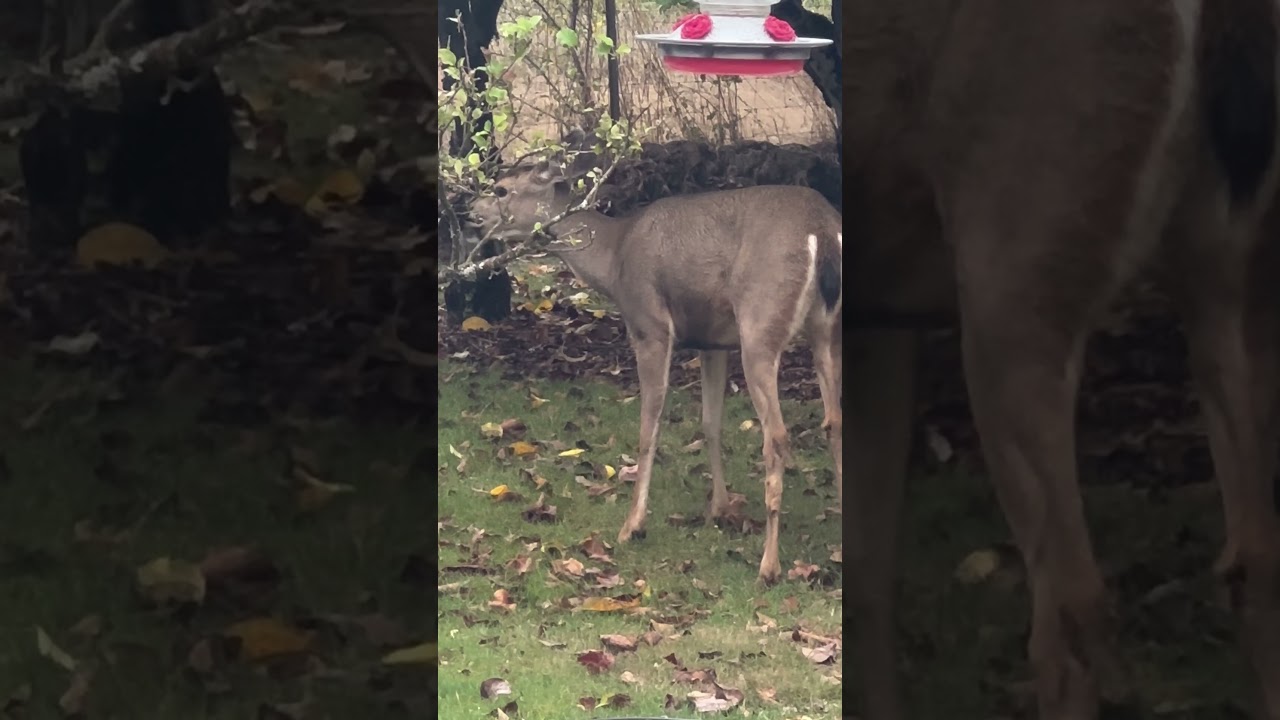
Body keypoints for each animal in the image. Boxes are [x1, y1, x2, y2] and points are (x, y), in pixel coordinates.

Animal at [468, 154, 843, 585]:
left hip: (760, 321)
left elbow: (649, 428)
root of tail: (822, 231)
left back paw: (769, 565)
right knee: (834, 420)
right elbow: (710, 422)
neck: (613, 257)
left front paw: (632, 525)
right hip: (825, 330)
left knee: (777, 436)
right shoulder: (713, 340)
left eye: (501, 189)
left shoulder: (650, 325)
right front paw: (721, 508)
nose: (470, 212)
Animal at [839, 0, 1280, 718]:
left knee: (1068, 623)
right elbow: (866, 581)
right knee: (1257, 563)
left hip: (1014, 272)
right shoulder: (878, 316)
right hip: (1238, 268)